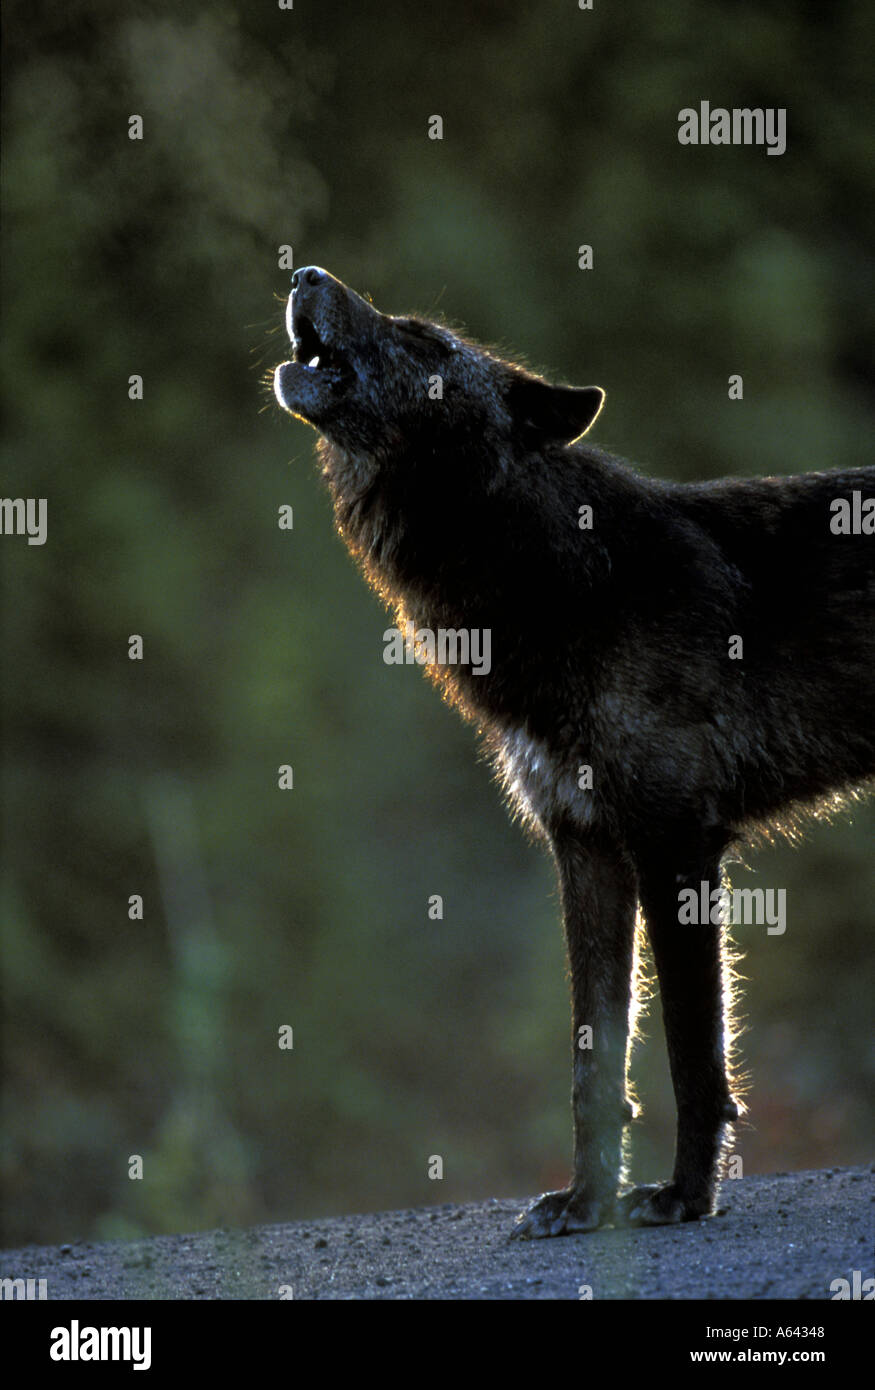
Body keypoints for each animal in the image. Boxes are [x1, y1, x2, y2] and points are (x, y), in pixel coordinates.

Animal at [272, 262, 873, 1239]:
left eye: (426, 340)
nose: (304, 273)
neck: (553, 575)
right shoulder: (584, 848)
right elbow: (593, 1062)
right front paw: (585, 1202)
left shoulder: (676, 844)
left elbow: (691, 1054)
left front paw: (684, 1197)